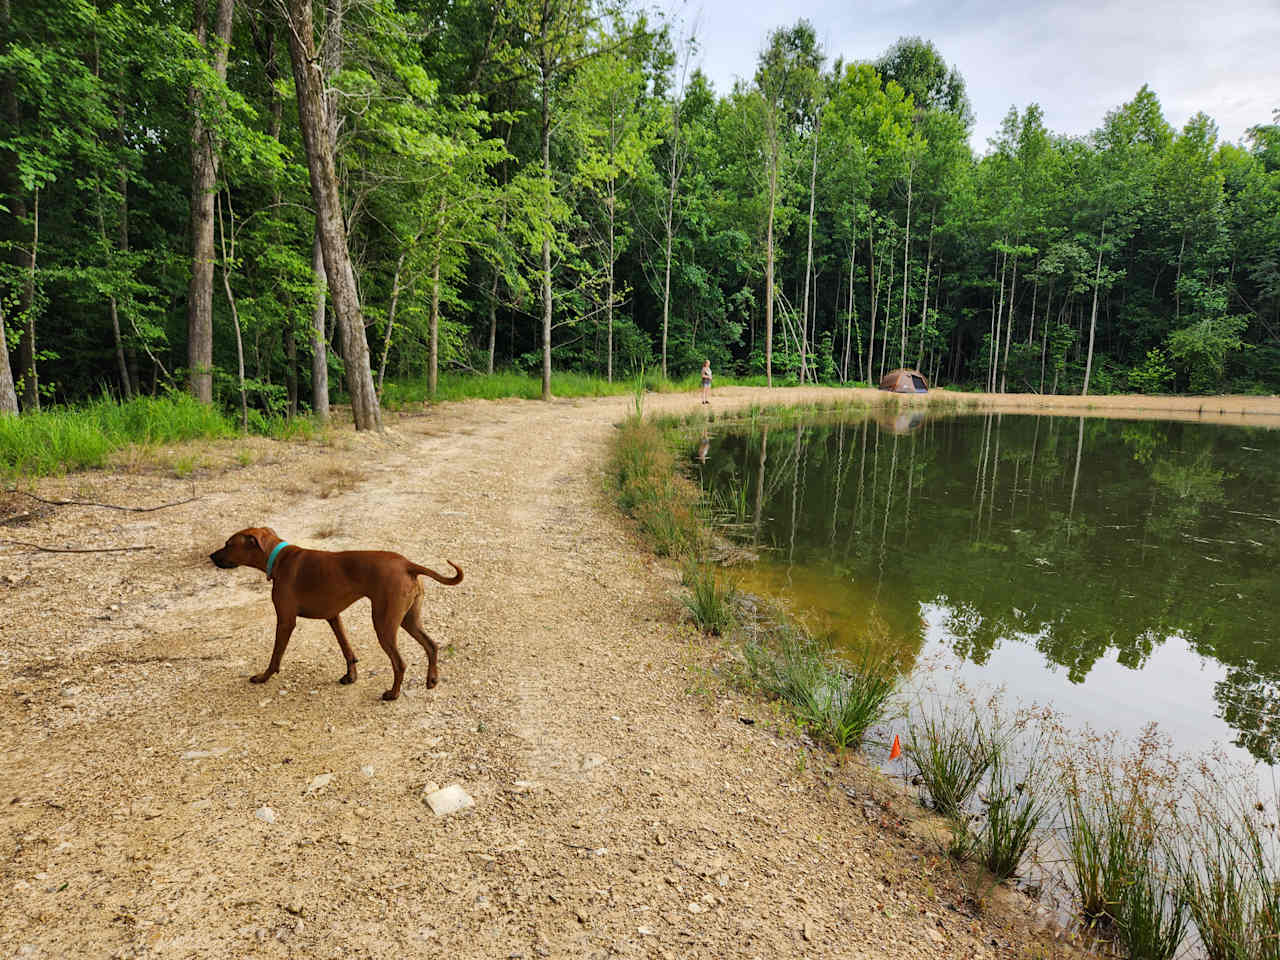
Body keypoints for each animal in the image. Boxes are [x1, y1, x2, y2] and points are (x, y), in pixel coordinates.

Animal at [211, 529, 465, 701]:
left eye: (228, 544)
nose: (211, 556)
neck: (279, 558)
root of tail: (407, 564)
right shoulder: (334, 617)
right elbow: (347, 650)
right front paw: (350, 676)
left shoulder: (285, 621)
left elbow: (275, 657)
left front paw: (263, 677)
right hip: (408, 619)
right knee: (431, 645)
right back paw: (432, 680)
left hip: (383, 623)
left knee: (399, 662)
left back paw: (393, 694)